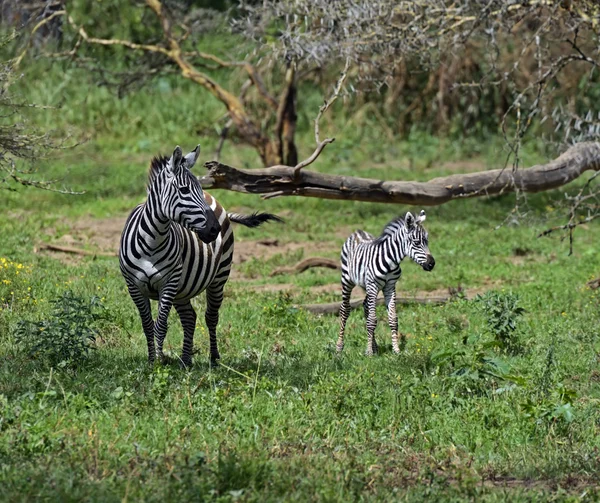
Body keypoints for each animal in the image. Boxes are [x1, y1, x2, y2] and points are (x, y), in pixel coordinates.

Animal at [120, 144, 282, 368]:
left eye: (196, 185)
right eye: (184, 190)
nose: (214, 230)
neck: (153, 240)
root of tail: (211, 197)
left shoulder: (169, 283)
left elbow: (160, 325)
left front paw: (160, 363)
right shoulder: (133, 286)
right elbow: (147, 324)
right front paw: (153, 361)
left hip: (218, 277)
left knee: (210, 317)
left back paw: (213, 358)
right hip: (183, 289)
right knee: (190, 317)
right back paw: (186, 360)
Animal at [338, 211, 436, 356]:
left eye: (427, 241)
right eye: (416, 242)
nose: (431, 264)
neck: (391, 261)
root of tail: (357, 232)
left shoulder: (390, 286)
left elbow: (393, 319)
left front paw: (396, 350)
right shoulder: (373, 285)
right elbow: (372, 320)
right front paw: (369, 353)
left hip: (368, 286)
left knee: (366, 306)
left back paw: (375, 347)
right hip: (347, 279)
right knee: (345, 310)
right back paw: (339, 347)